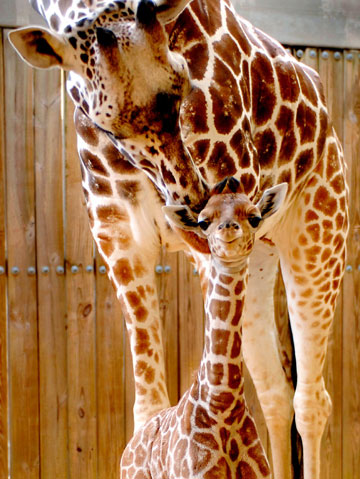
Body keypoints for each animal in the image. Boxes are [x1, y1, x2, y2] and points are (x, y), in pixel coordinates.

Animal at [121, 178, 286, 478]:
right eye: (203, 221)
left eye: (254, 218)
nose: (228, 229)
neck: (223, 403)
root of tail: (128, 448)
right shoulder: (194, 473)